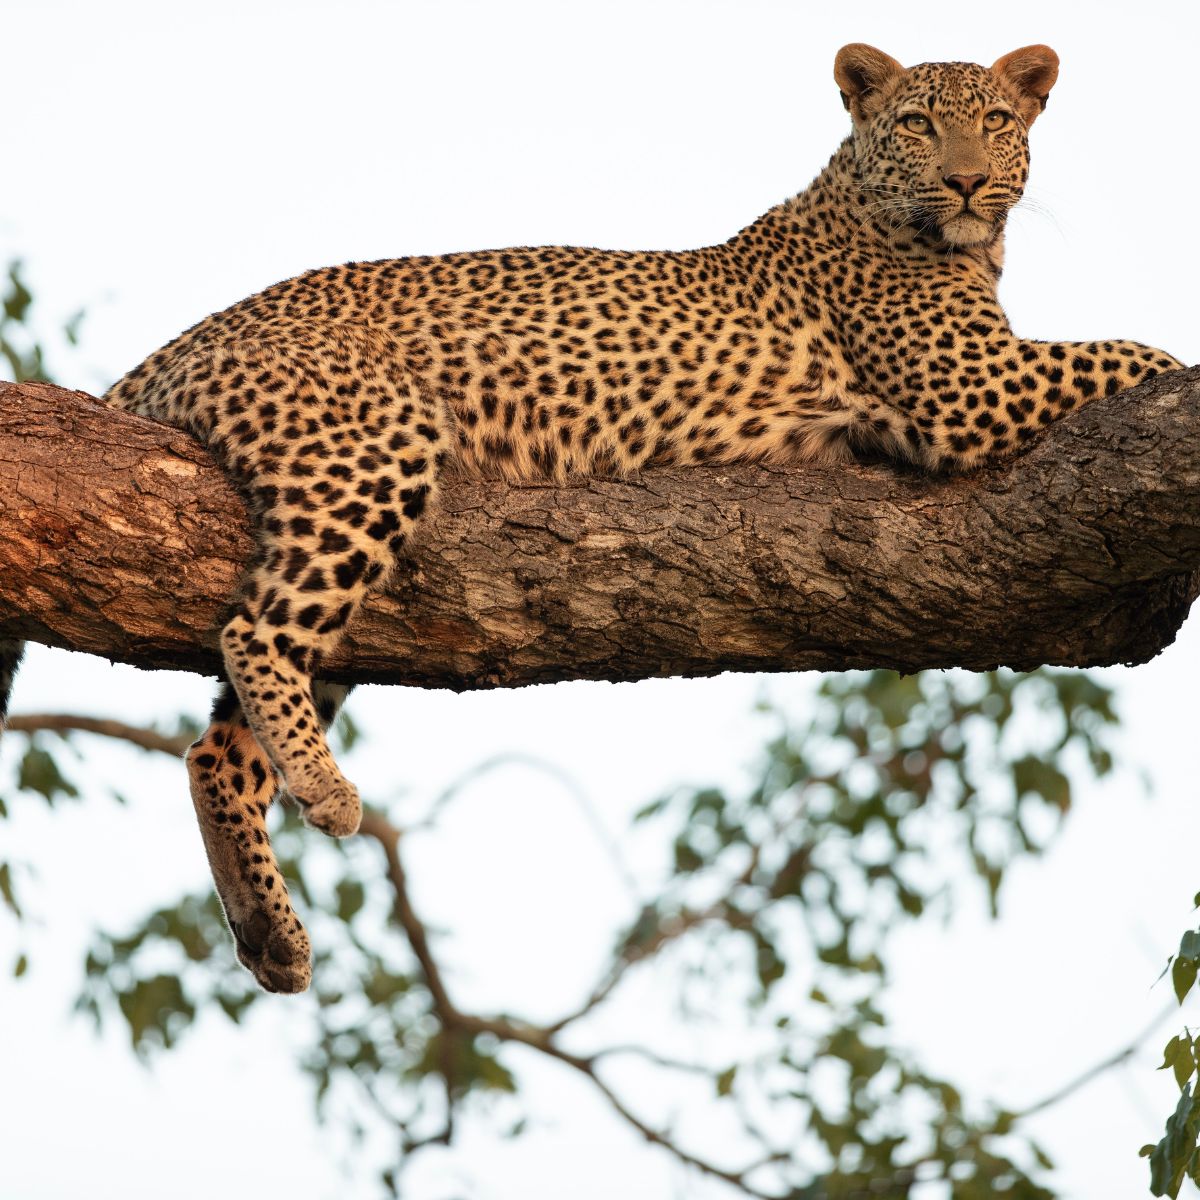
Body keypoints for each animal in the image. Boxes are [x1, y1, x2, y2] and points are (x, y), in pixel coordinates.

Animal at [0, 42, 1180, 988]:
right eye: (918, 124)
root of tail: (180, 342)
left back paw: (271, 933)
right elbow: (1138, 352)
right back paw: (329, 799)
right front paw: (1175, 377)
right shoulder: (971, 387)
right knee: (254, 635)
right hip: (371, 448)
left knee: (215, 748)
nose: (969, 180)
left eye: (997, 121)